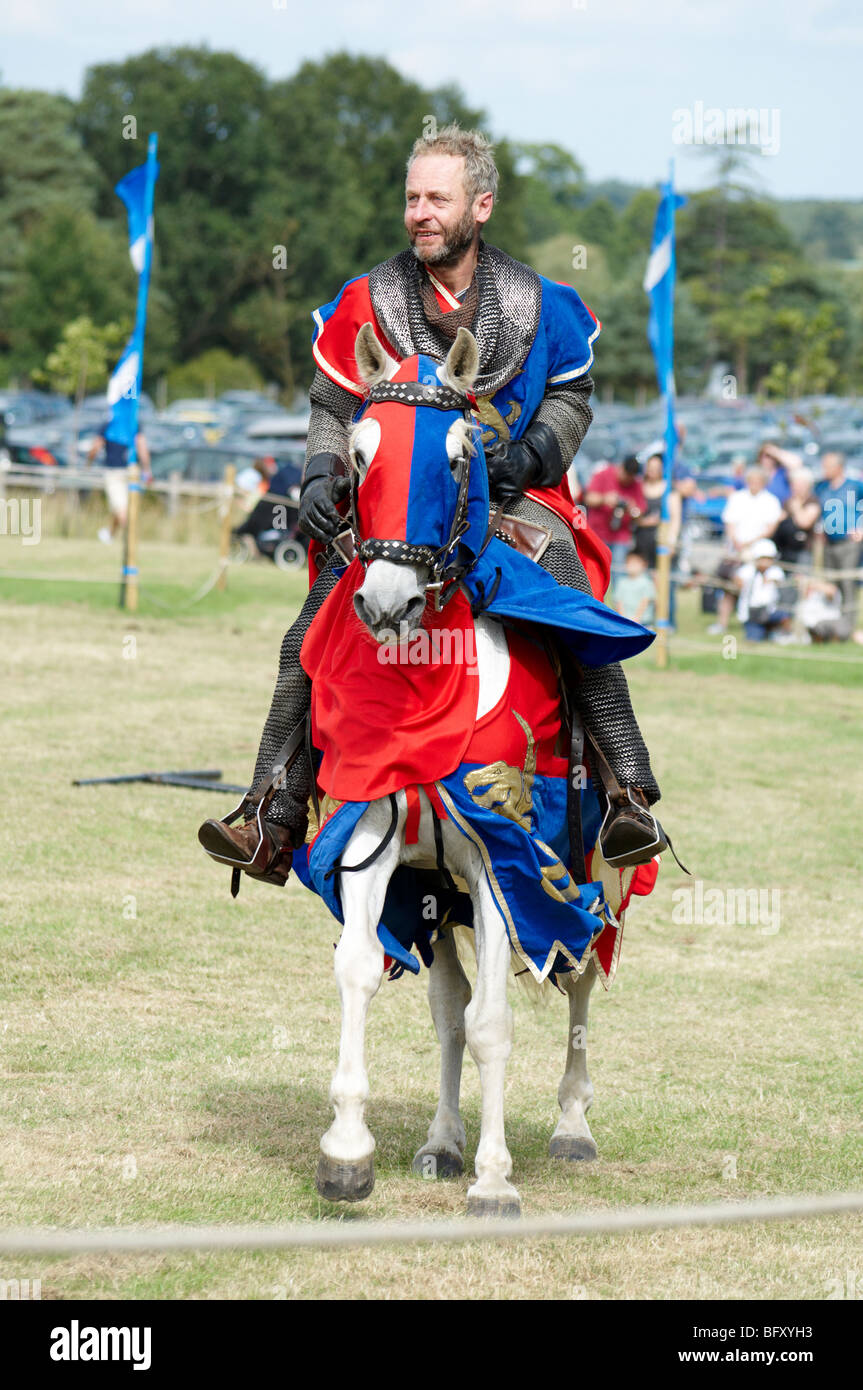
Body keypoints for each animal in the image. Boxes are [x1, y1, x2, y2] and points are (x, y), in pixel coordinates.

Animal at [312, 325, 603, 1217]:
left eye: (457, 456)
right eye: (360, 455)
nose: (386, 604)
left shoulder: (503, 860)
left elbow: (494, 1026)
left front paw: (495, 1179)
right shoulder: (373, 842)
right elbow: (365, 973)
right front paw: (346, 1151)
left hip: (595, 872)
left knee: (581, 979)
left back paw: (571, 1127)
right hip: (434, 896)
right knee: (447, 1008)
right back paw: (442, 1142)